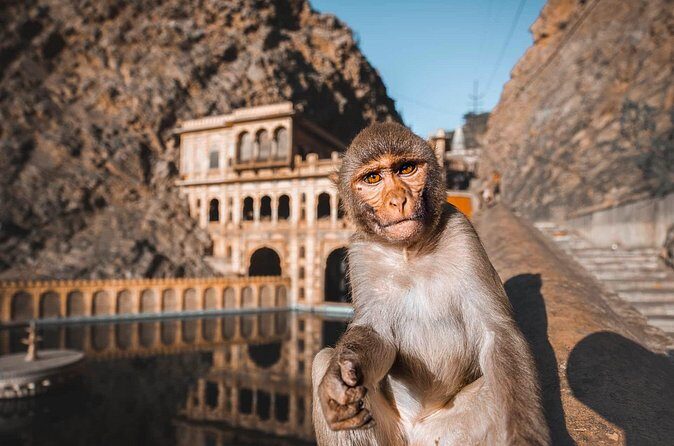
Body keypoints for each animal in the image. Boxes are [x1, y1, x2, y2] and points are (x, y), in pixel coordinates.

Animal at [312, 122, 550, 445]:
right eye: (372, 178)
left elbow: (497, 333)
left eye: (406, 169)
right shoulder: (361, 253)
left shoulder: (462, 233)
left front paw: (526, 434)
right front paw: (340, 378)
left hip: (449, 433)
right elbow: (376, 334)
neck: (410, 252)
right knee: (321, 360)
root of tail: (417, 430)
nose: (398, 200)